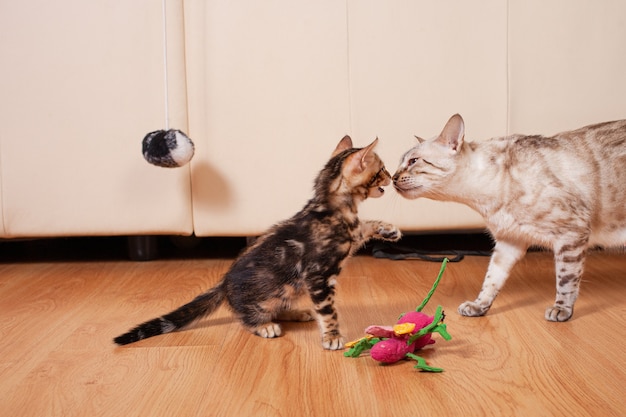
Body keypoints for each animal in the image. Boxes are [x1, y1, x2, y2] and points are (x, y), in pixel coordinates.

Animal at [114, 136, 400, 348]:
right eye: (381, 169)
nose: (392, 177)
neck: (331, 207)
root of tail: (224, 283)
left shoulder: (350, 236)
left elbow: (364, 226)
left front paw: (389, 229)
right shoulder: (318, 276)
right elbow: (328, 310)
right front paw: (332, 336)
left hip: (290, 289)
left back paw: (296, 313)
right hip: (274, 293)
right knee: (245, 317)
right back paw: (264, 326)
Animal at [392, 114, 620, 322]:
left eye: (413, 161)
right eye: (400, 163)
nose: (393, 178)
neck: (482, 199)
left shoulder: (571, 233)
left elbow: (565, 279)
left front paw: (561, 309)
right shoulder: (509, 241)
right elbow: (491, 279)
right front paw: (478, 306)